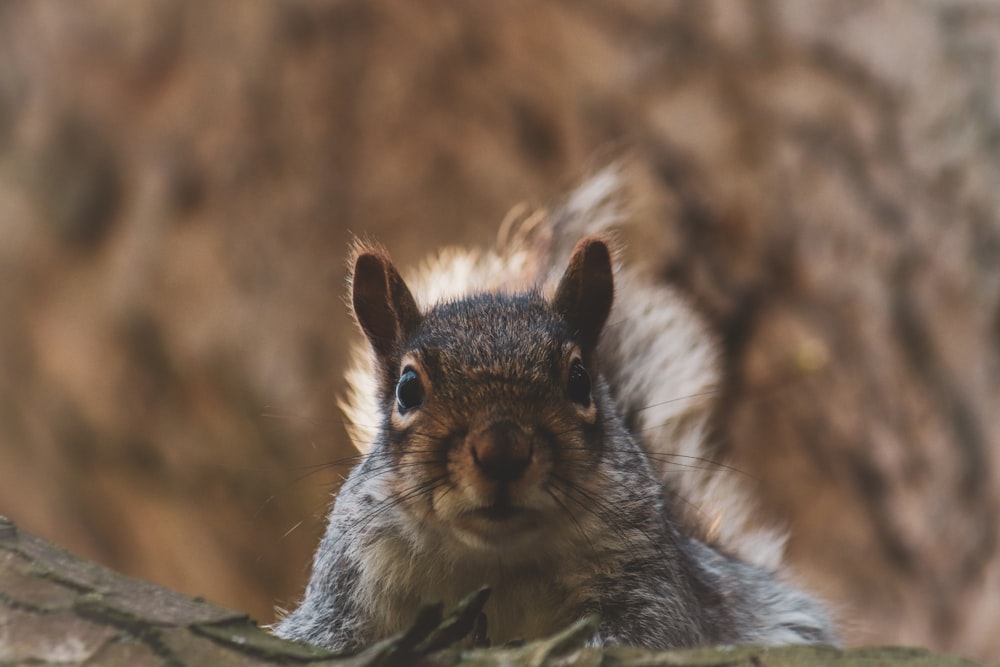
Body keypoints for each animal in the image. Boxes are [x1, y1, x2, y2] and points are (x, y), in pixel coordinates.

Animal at [272, 167, 836, 652]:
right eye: (407, 389)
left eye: (579, 381)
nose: (502, 451)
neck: (496, 562)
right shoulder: (350, 585)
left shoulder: (652, 585)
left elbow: (650, 634)